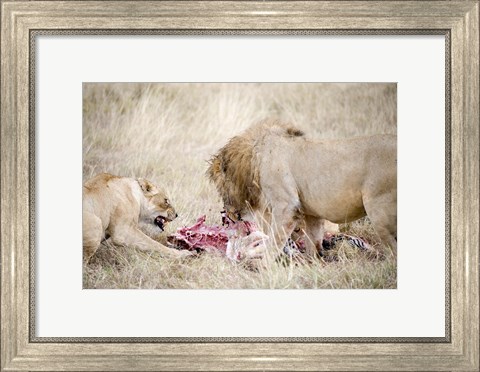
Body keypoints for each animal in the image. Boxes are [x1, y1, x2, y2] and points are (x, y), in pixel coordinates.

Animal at [207, 120, 398, 258]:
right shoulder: (313, 214)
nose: (225, 213)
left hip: (379, 211)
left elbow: (274, 242)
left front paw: (265, 268)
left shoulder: (286, 206)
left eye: (220, 187)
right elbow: (313, 242)